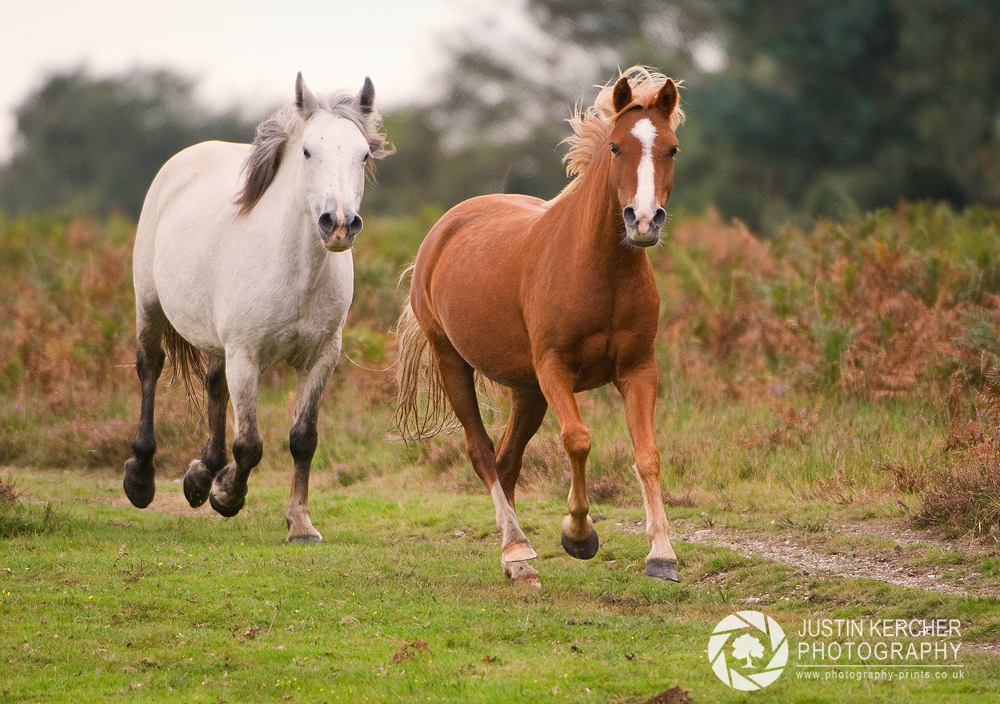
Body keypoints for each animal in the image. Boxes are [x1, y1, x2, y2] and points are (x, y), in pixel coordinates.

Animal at [123, 74, 392, 540]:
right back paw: (141, 479)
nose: (339, 224)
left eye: (363, 155)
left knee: (214, 385)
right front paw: (227, 495)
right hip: (151, 307)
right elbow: (249, 444)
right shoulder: (246, 356)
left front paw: (300, 521)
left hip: (217, 341)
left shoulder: (321, 356)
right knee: (150, 368)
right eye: (307, 151)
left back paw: (200, 475)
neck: (296, 274)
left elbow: (303, 438)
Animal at [394, 67, 684, 584]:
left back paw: (517, 561)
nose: (644, 220)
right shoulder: (555, 369)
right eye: (616, 147)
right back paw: (516, 548)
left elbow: (647, 454)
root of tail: (444, 228)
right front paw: (578, 535)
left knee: (508, 460)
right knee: (482, 452)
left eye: (671, 148)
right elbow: (578, 439)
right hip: (453, 362)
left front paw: (662, 554)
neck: (600, 271)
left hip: (526, 390)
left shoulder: (638, 370)